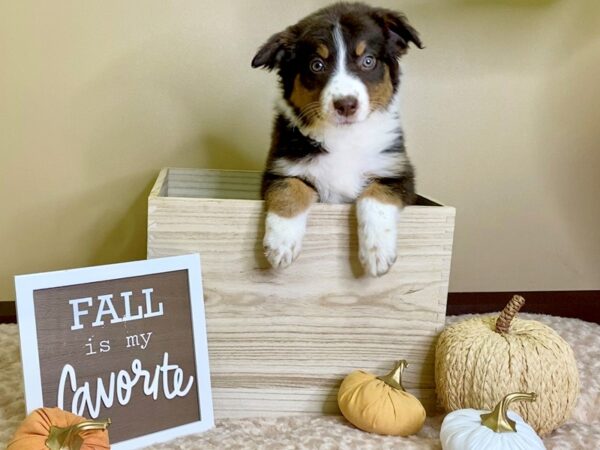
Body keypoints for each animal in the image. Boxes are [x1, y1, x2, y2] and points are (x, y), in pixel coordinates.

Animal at [250, 2, 422, 278]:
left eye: (368, 60)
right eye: (317, 65)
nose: (346, 105)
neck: (345, 137)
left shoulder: (398, 173)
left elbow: (375, 197)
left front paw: (377, 252)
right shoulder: (280, 167)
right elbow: (289, 189)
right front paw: (281, 244)